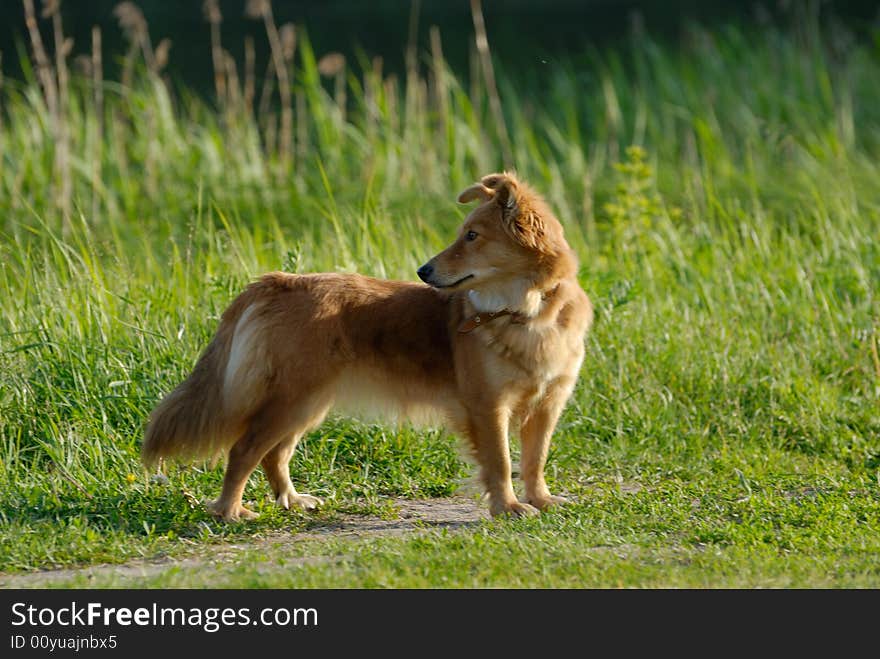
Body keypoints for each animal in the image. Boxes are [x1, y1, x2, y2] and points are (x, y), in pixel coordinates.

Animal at [144, 173, 596, 524]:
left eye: (472, 237)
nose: (423, 271)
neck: (530, 311)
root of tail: (280, 281)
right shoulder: (488, 406)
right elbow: (501, 462)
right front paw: (508, 507)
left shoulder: (548, 403)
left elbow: (535, 459)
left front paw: (540, 499)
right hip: (292, 400)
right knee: (243, 450)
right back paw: (229, 511)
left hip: (307, 403)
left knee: (275, 454)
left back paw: (291, 500)